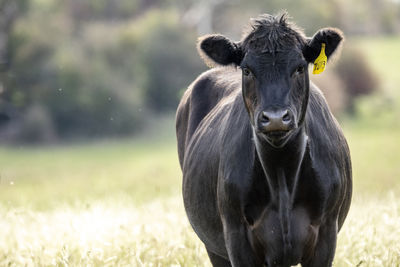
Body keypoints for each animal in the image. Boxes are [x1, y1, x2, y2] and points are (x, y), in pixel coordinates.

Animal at [177, 14, 352, 267]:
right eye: (247, 70)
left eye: (300, 67)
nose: (276, 118)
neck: (281, 174)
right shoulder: (236, 238)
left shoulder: (326, 235)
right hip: (214, 247)